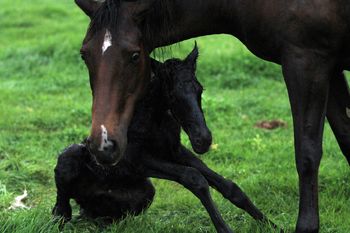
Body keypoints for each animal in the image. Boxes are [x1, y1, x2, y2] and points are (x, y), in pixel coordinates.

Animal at [52, 46, 274, 233]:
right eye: (172, 96)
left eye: (200, 89)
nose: (203, 140)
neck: (154, 118)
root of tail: (84, 202)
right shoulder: (135, 159)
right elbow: (194, 178)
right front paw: (225, 228)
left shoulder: (175, 150)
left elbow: (228, 186)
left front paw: (270, 223)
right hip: (71, 157)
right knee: (61, 206)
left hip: (145, 192)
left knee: (101, 216)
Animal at [75, 0, 350, 231]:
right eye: (84, 55)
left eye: (134, 55)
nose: (103, 144)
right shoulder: (329, 66)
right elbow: (344, 141)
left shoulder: (307, 60)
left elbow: (307, 153)